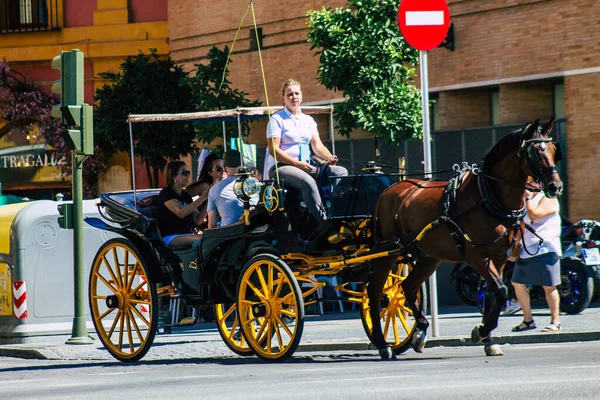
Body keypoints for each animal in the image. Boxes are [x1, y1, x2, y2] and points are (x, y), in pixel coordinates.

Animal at [370, 119, 564, 360]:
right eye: (536, 152)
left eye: (554, 150)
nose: (555, 186)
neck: (488, 197)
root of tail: (388, 190)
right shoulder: (477, 257)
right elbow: (501, 291)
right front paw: (481, 331)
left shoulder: (499, 258)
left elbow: (492, 296)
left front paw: (488, 338)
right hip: (386, 253)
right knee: (375, 293)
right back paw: (383, 344)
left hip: (429, 256)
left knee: (408, 286)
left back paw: (420, 331)